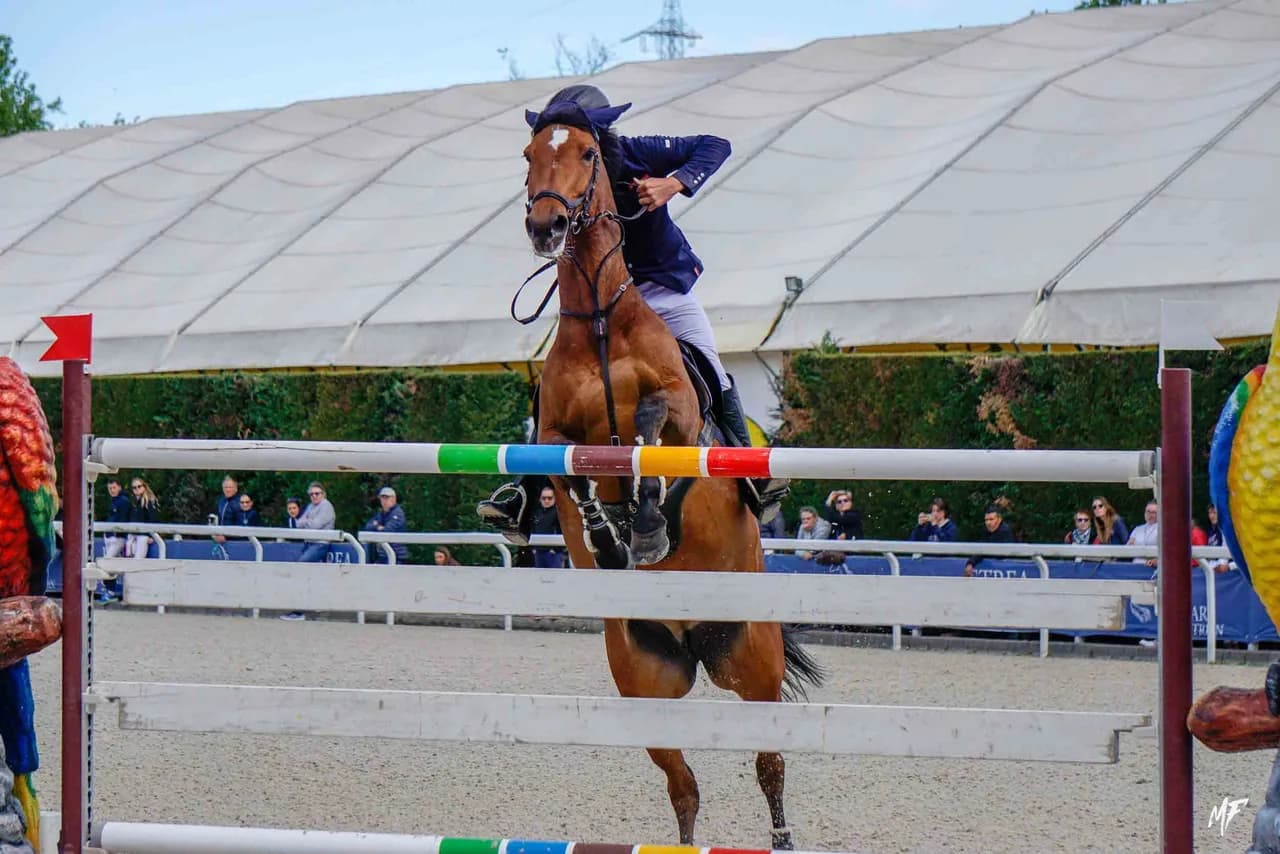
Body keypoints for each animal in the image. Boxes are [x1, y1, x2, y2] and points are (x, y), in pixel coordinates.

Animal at [519, 115, 825, 849]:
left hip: (752, 659)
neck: (602, 319)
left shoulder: (681, 415)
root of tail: (692, 636)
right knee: (683, 783)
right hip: (645, 679)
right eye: (528, 156)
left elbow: (650, 429)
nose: (545, 225)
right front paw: (607, 537)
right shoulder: (551, 435)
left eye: (588, 154)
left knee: (769, 764)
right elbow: (573, 472)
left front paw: (649, 525)